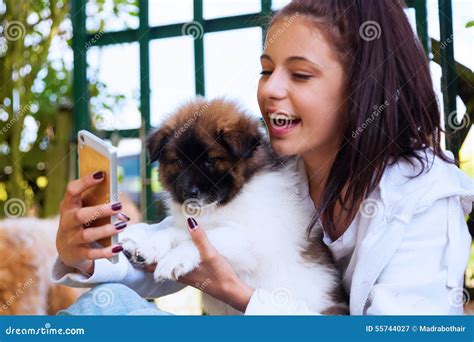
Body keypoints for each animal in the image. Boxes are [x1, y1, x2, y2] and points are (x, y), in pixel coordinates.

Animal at [120, 97, 346, 314]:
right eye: (179, 161)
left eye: (211, 160)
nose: (188, 194)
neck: (229, 198)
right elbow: (172, 229)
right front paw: (144, 243)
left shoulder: (252, 241)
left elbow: (203, 237)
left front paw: (173, 258)